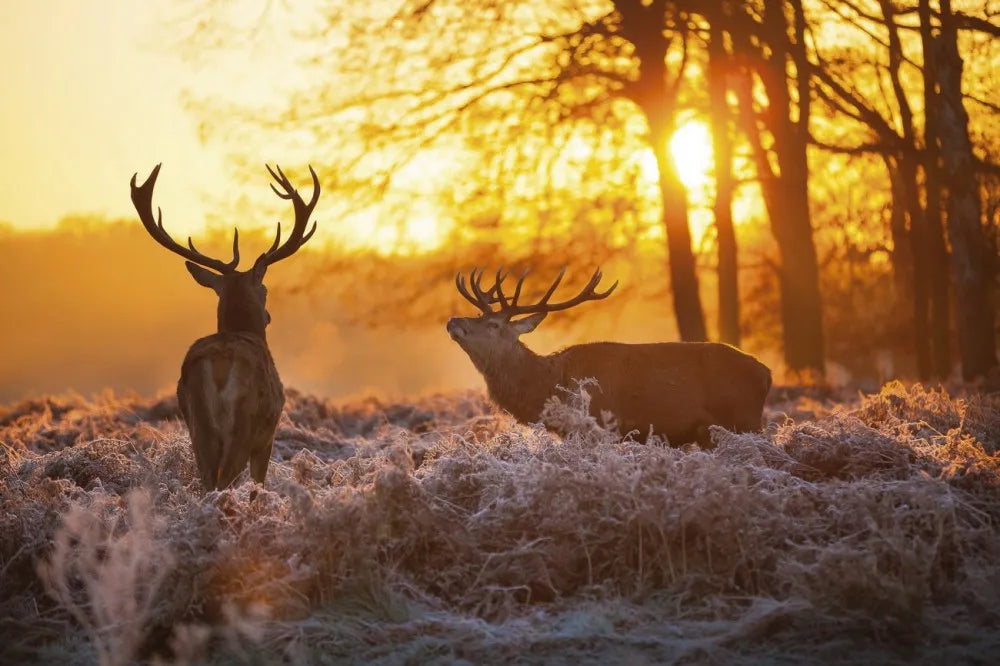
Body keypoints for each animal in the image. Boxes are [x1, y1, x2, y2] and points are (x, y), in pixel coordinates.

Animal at [130, 163, 320, 490]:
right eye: (265, 289)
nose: (268, 316)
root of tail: (219, 363)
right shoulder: (267, 436)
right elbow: (258, 483)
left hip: (197, 422)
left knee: (207, 478)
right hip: (244, 422)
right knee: (225, 478)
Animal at [447, 267, 771, 446]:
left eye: (494, 324)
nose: (453, 321)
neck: (549, 386)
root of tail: (766, 374)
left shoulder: (596, 429)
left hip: (745, 420)